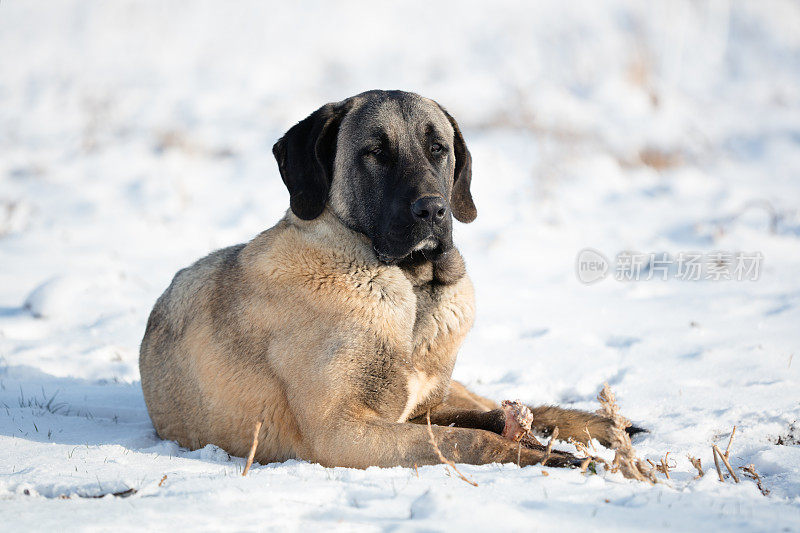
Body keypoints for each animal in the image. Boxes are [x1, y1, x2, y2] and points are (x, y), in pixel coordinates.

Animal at [138, 89, 636, 468]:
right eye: (375, 153)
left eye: (438, 149)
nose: (433, 210)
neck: (412, 290)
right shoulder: (343, 431)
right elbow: (470, 438)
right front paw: (543, 456)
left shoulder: (424, 409)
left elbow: (487, 420)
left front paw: (539, 441)